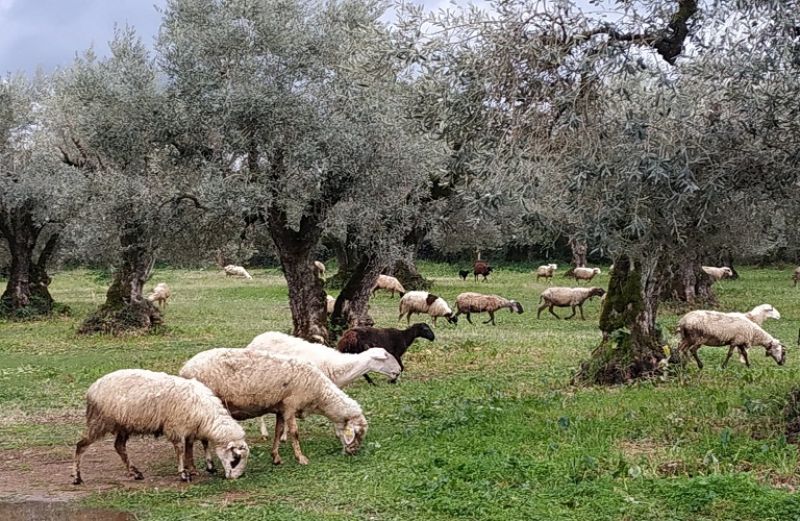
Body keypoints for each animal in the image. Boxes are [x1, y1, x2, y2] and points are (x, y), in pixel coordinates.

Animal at [70, 370, 248, 484]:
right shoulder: (176, 426)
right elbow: (180, 449)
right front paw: (183, 474)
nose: (233, 479)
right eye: (235, 459)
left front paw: (200, 467)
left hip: (123, 425)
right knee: (81, 445)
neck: (207, 414)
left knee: (119, 446)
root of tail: (92, 388)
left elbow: (195, 445)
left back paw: (135, 473)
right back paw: (77, 477)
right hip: (100, 421)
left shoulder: (191, 427)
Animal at [180, 350, 368, 464]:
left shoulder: (281, 408)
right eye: (358, 433)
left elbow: (279, 431)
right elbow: (294, 433)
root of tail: (184, 369)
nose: (353, 452)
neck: (320, 393)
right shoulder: (291, 405)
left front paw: (276, 457)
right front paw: (301, 458)